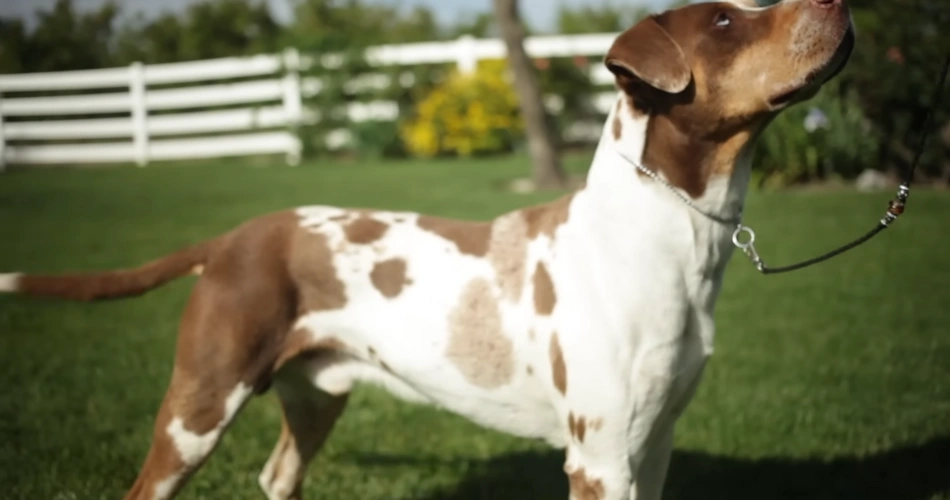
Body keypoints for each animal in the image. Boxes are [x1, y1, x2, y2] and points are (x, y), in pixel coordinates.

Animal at [0, 0, 856, 500]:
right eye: (724, 22)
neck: (671, 239)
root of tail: (236, 235)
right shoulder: (603, 454)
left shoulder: (655, 445)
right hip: (198, 405)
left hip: (316, 395)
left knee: (277, 473)